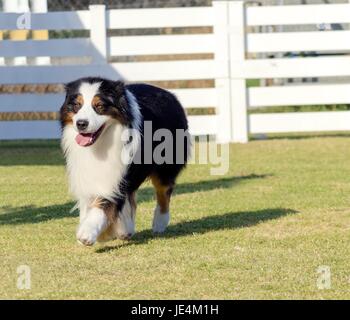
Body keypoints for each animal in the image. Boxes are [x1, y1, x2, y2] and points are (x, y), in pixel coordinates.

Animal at [60, 77, 191, 245]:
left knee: (163, 191)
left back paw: (159, 223)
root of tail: (171, 95)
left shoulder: (119, 175)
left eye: (100, 106)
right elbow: (90, 200)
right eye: (77, 105)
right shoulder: (87, 173)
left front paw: (87, 233)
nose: (81, 123)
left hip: (165, 166)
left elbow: (105, 202)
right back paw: (126, 230)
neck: (102, 143)